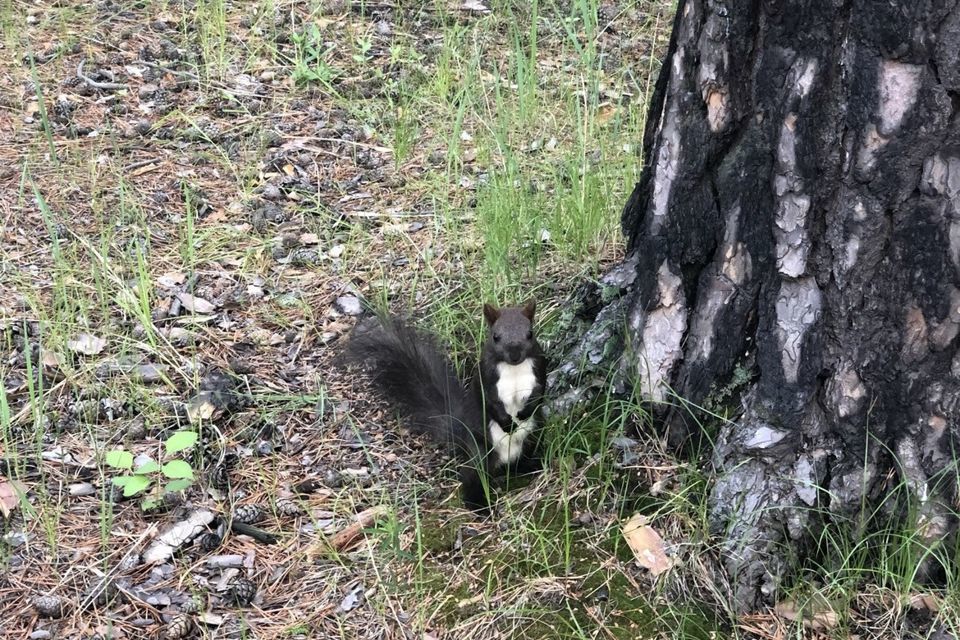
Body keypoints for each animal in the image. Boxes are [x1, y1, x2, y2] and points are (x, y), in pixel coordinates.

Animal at [344, 302, 548, 512]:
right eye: (495, 336)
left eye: (530, 333)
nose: (515, 355)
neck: (513, 368)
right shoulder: (485, 378)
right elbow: (489, 401)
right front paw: (507, 423)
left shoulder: (539, 369)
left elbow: (539, 393)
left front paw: (524, 413)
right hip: (481, 451)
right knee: (472, 477)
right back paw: (479, 506)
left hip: (534, 437)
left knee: (521, 460)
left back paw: (531, 465)